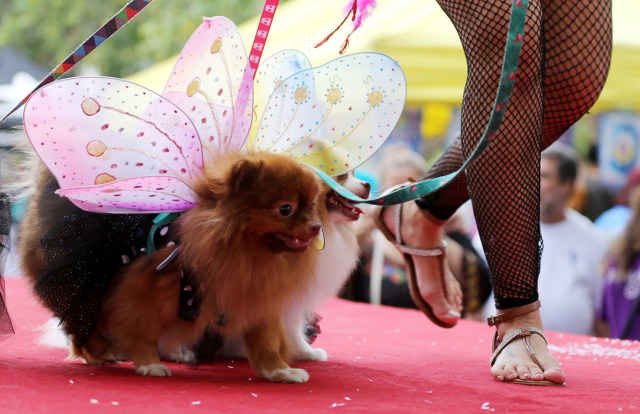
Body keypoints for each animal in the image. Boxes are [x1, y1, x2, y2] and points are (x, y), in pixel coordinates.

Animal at [20, 150, 324, 384]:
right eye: (285, 209)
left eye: (311, 206)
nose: (315, 226)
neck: (246, 253)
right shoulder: (142, 294)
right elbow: (142, 333)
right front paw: (148, 363)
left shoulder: (257, 300)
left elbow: (267, 343)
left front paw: (279, 371)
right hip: (89, 285)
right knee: (81, 322)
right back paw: (99, 354)